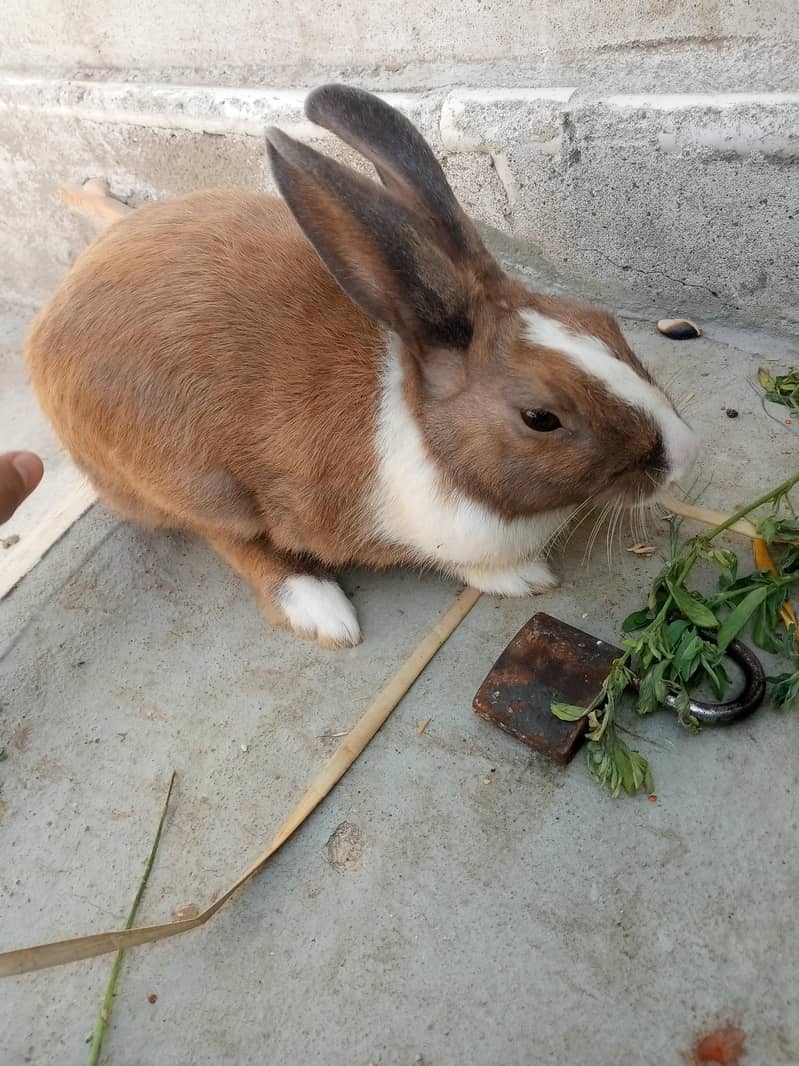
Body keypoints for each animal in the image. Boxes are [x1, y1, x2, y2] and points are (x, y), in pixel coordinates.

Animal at [26, 84, 698, 649]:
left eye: (604, 322)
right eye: (540, 417)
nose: (681, 454)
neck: (427, 435)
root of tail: (46, 326)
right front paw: (523, 577)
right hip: (195, 482)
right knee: (230, 538)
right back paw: (321, 610)